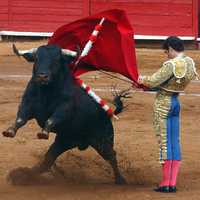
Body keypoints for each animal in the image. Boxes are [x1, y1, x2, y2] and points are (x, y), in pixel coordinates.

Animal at [1, 44, 128, 184]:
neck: (46, 92)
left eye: (57, 60)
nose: (42, 76)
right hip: (63, 141)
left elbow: (52, 119)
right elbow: (20, 118)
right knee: (48, 160)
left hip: (102, 141)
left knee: (111, 156)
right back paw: (25, 175)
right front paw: (9, 131)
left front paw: (43, 133)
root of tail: (107, 115)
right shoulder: (27, 103)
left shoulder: (65, 109)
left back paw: (120, 180)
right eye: (36, 58)